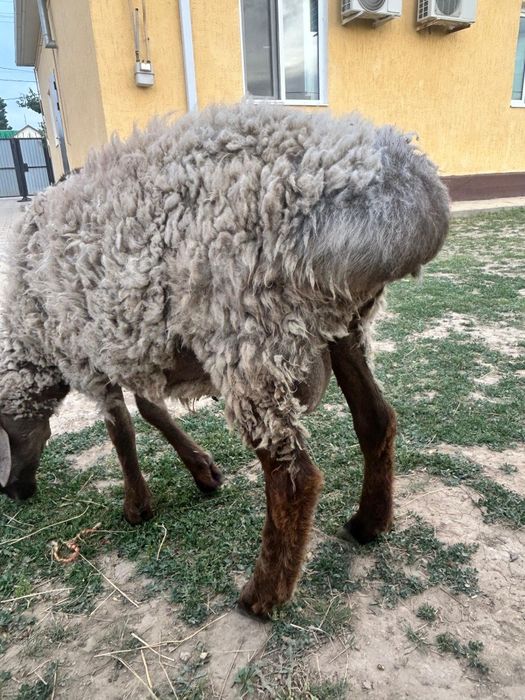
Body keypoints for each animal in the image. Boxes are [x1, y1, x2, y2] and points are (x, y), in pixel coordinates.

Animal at [0, 102, 449, 616]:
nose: (12, 490)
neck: (29, 322)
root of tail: (403, 184)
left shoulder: (88, 354)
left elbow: (122, 432)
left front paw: (137, 506)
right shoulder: (139, 343)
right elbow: (152, 411)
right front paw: (203, 471)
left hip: (248, 338)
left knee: (293, 477)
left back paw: (263, 596)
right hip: (344, 326)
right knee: (376, 419)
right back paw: (368, 523)